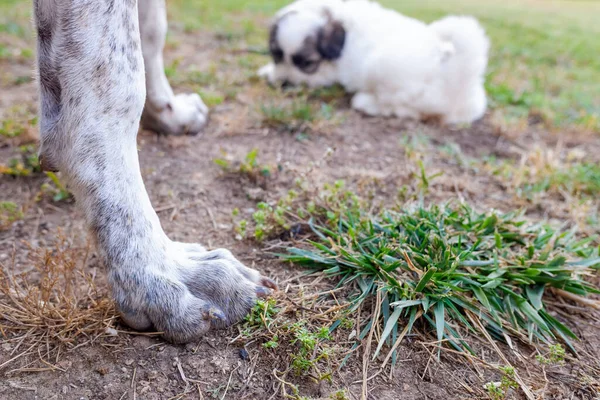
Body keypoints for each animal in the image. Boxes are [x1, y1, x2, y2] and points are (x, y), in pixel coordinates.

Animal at [256, 0, 488, 124]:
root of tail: (459, 80)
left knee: (402, 108)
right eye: (276, 56)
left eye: (307, 63)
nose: (284, 82)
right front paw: (267, 71)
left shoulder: (327, 74)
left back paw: (365, 102)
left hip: (382, 70)